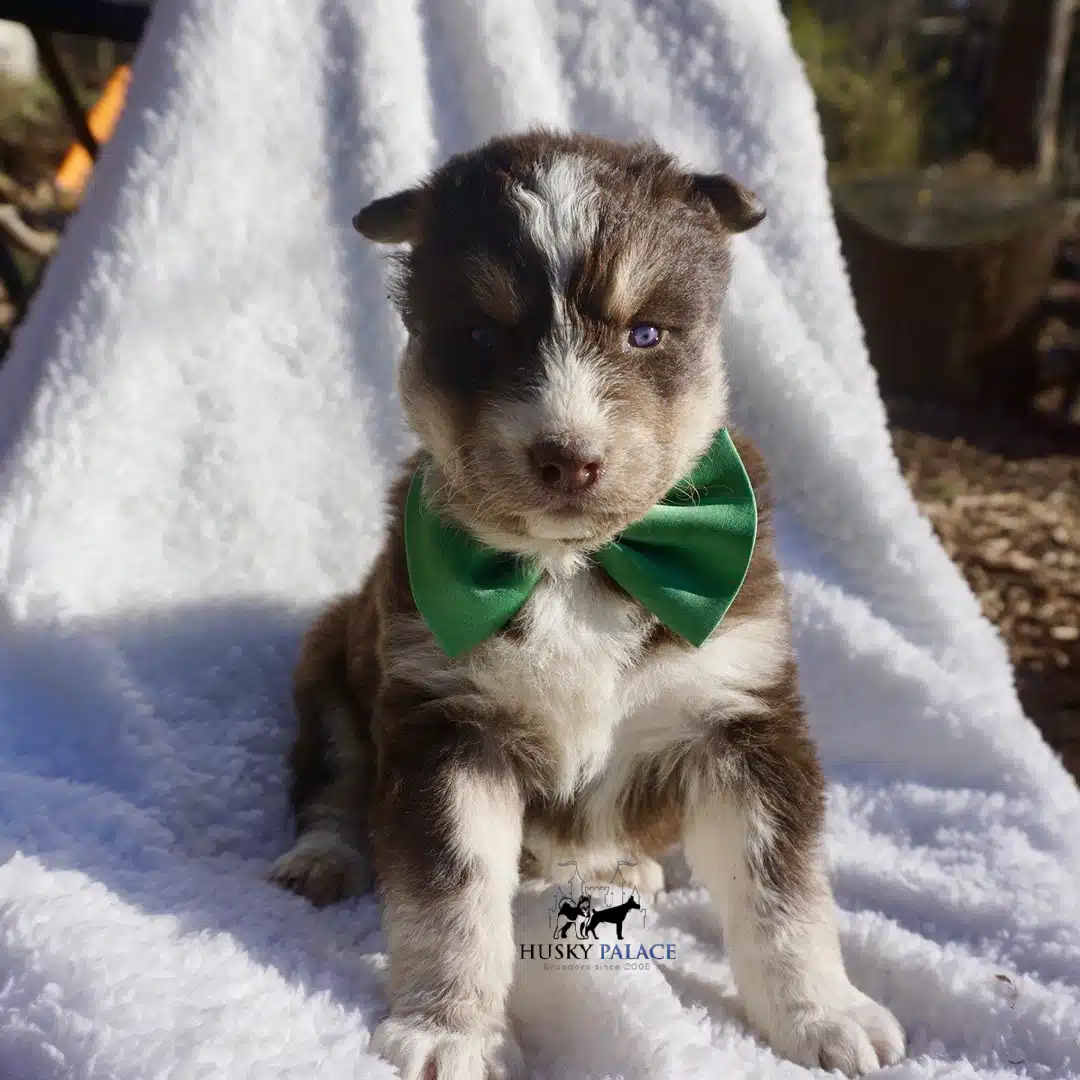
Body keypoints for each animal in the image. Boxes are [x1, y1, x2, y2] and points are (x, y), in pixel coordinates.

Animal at [267, 128, 902, 1080]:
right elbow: (452, 896)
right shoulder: (445, 723)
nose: (567, 459)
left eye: (646, 333)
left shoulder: (741, 716)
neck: (572, 566)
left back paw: (623, 870)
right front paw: (450, 1030)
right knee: (332, 785)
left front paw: (827, 1016)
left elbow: (782, 893)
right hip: (331, 667)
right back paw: (319, 860)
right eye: (481, 335)